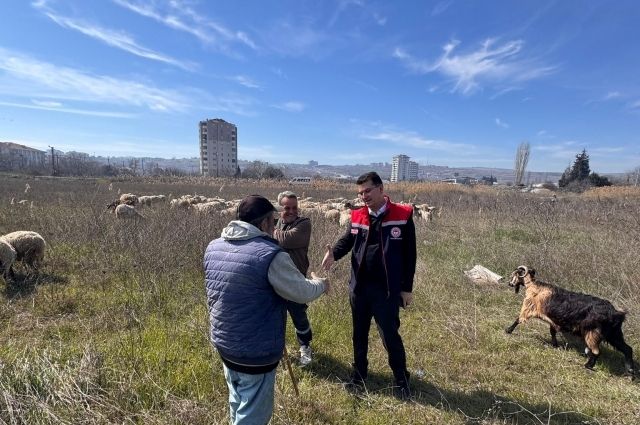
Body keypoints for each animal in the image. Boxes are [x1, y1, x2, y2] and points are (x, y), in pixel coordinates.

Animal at [504, 264, 636, 374]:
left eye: (513, 275)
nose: (510, 284)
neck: (534, 286)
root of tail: (615, 313)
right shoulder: (553, 320)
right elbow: (552, 332)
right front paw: (555, 344)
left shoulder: (529, 308)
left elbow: (518, 319)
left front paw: (508, 330)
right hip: (614, 334)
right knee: (627, 349)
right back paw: (630, 371)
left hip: (592, 332)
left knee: (596, 351)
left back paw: (588, 365)